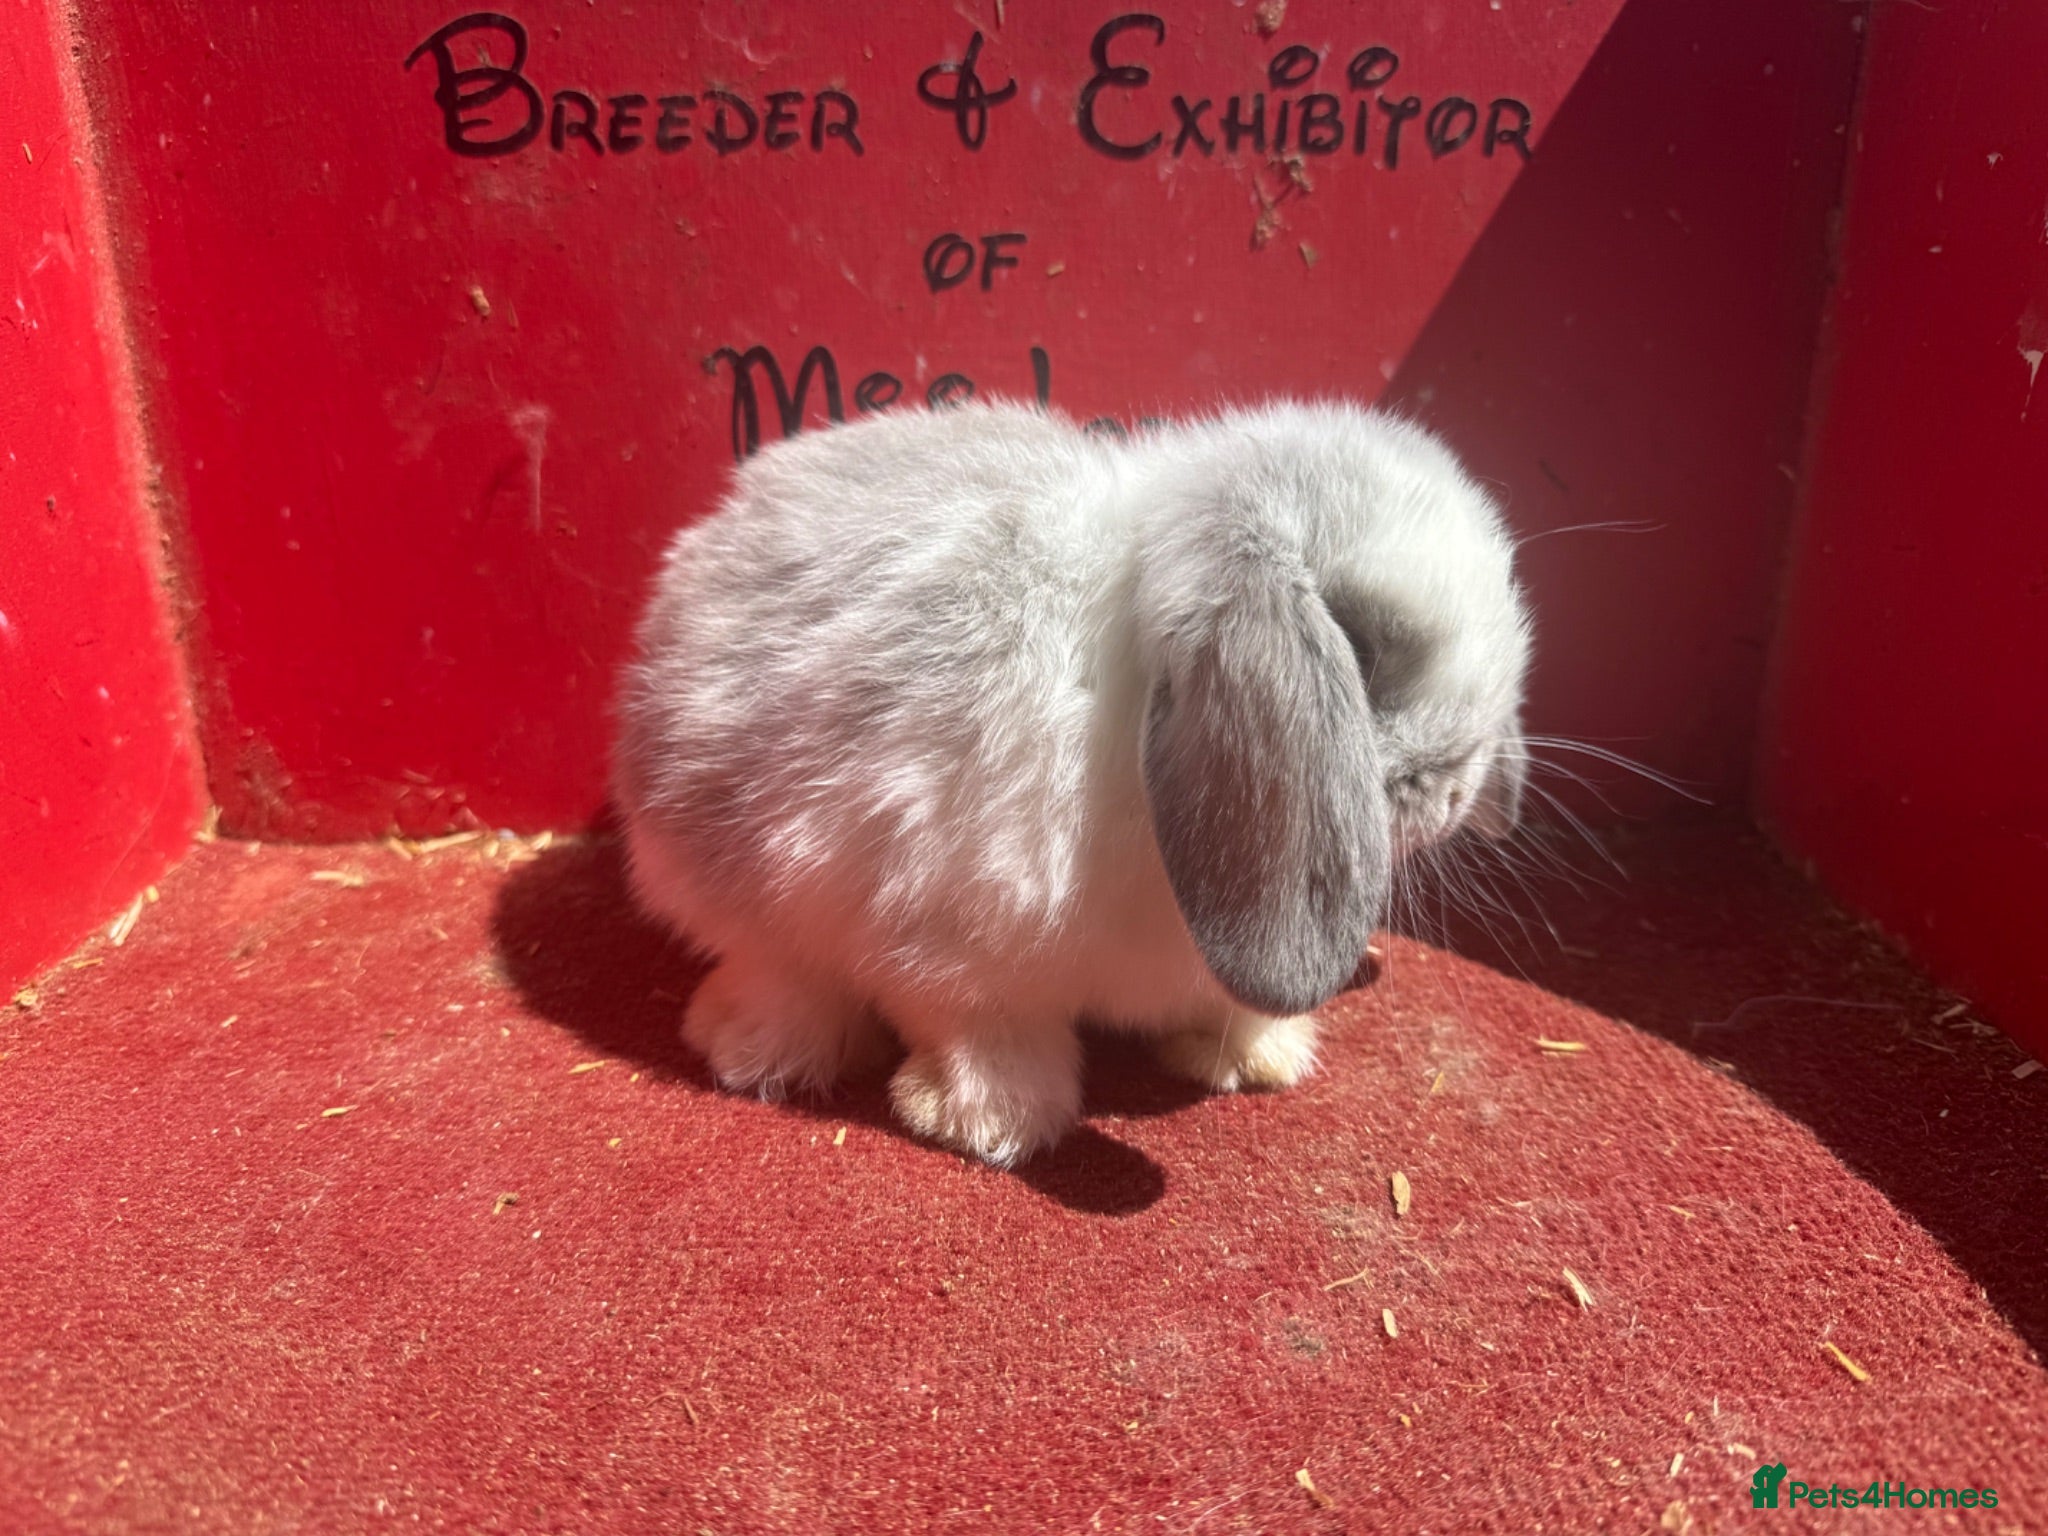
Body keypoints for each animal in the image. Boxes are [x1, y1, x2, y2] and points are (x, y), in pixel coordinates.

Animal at [611, 399, 1531, 1166]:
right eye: (1361, 652)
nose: (1455, 794)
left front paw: (1259, 1058)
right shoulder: (952, 949)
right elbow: (984, 1036)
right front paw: (987, 1125)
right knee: (771, 968)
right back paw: (762, 1051)